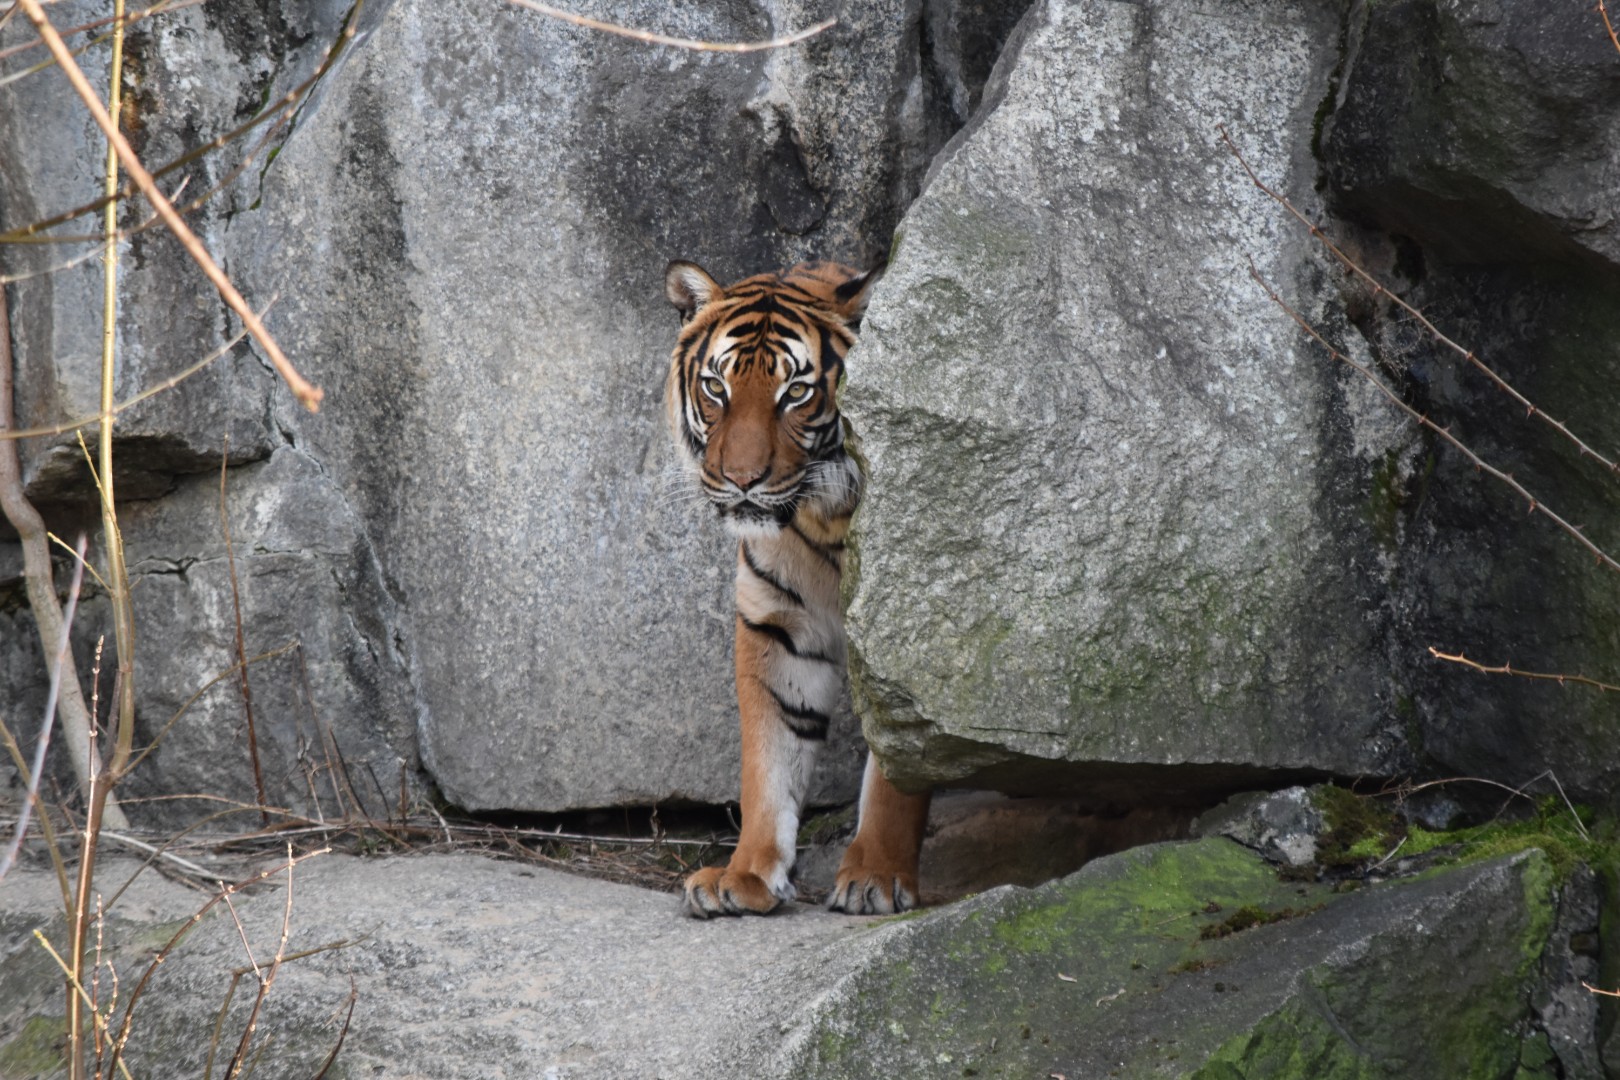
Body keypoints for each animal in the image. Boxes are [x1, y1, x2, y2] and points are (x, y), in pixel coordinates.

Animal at [664, 258, 931, 918]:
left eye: (797, 393)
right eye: (717, 388)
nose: (741, 481)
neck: (824, 517)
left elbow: (898, 771)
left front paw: (876, 876)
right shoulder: (778, 626)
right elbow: (770, 761)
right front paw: (745, 874)